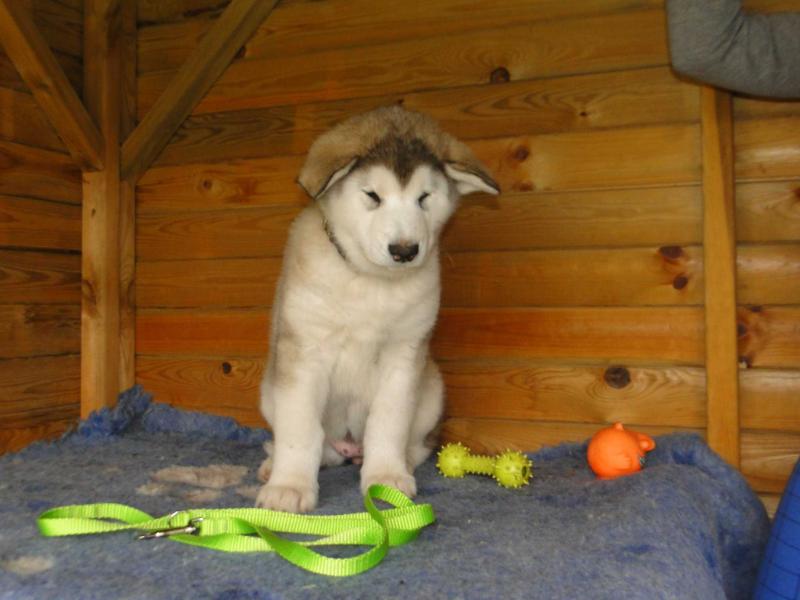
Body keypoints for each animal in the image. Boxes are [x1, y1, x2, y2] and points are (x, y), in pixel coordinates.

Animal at [255, 106, 499, 513]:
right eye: (372, 195)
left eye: (424, 197)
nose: (404, 250)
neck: (371, 282)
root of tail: (347, 447)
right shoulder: (304, 352)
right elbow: (300, 428)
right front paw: (288, 486)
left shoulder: (404, 355)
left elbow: (389, 422)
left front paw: (386, 476)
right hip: (270, 389)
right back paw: (274, 464)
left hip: (431, 389)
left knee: (413, 441)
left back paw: (400, 460)